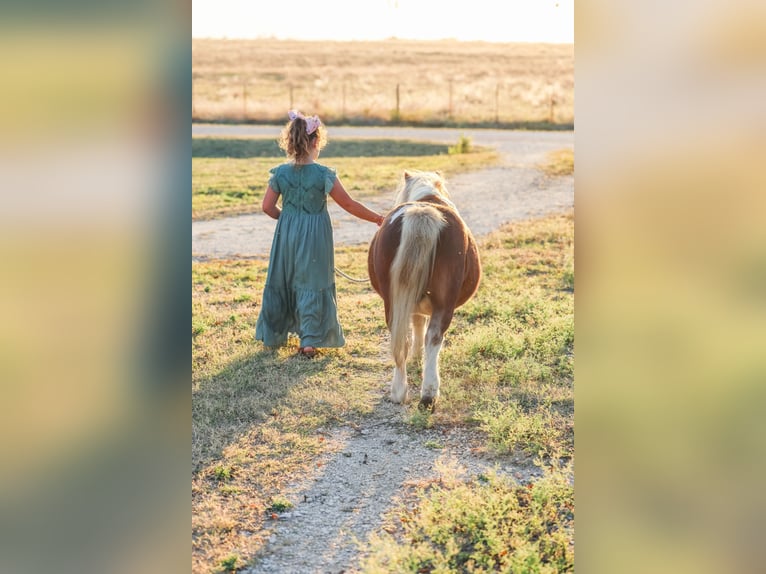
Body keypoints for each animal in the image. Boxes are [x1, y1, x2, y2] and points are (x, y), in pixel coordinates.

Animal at [367, 170, 481, 410]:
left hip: (393, 302)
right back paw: (429, 393)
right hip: (444, 304)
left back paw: (399, 391)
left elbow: (417, 323)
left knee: (400, 338)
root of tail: (423, 211)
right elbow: (422, 327)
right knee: (434, 338)